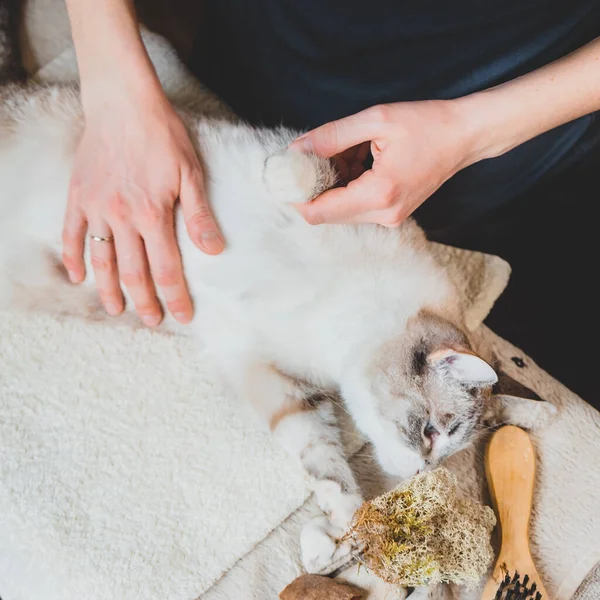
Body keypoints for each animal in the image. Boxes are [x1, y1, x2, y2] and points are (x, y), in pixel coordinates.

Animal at [0, 14, 552, 572]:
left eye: (446, 453)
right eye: (431, 432)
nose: (419, 474)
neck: (338, 308)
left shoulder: (275, 380)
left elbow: (322, 461)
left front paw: (341, 534)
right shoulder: (345, 192)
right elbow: (315, 175)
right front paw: (282, 173)